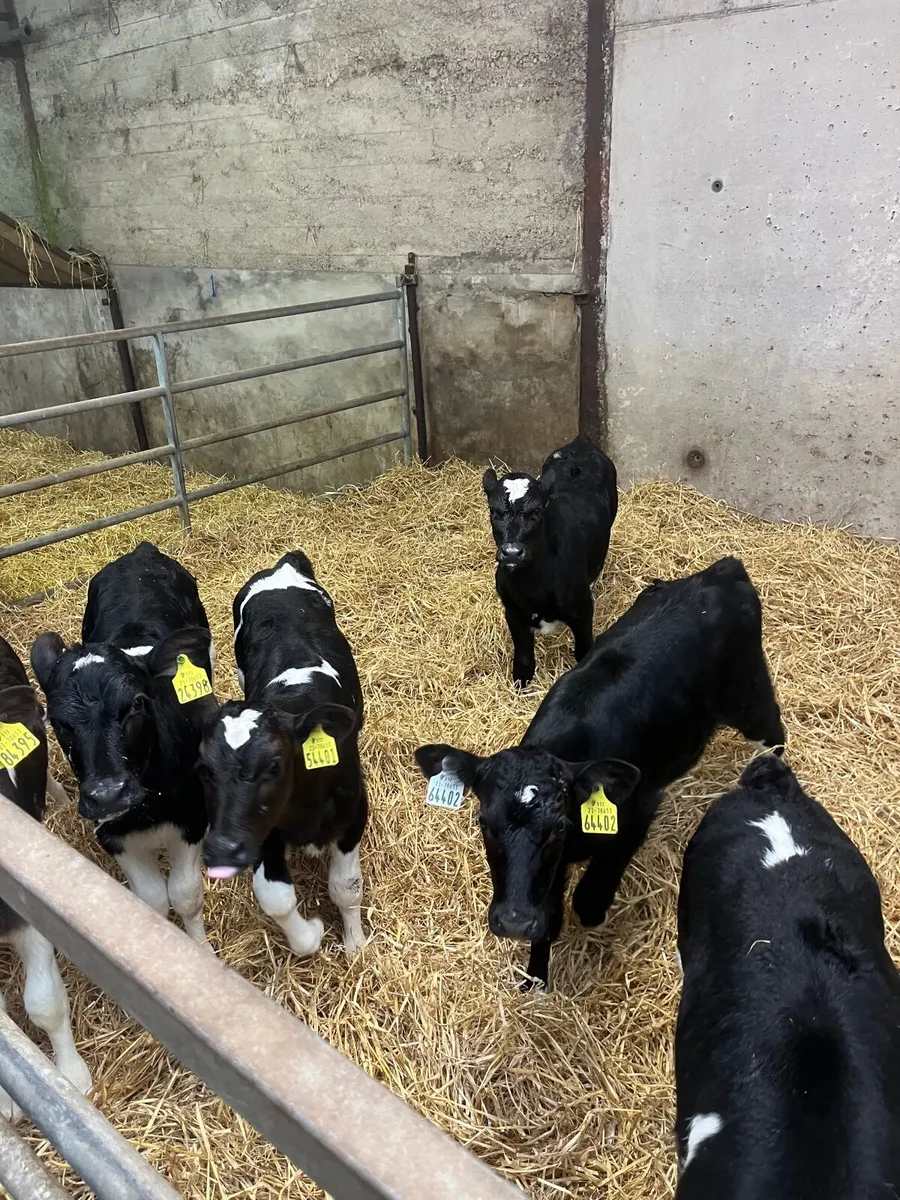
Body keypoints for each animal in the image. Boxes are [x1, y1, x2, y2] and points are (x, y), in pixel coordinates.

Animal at [30, 542, 215, 943]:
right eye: (58, 722)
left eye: (137, 703)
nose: (108, 794)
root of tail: (141, 552)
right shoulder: (112, 834)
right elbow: (152, 902)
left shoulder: (194, 818)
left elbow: (186, 895)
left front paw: (199, 949)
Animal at [198, 551, 367, 957]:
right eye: (204, 769)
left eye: (275, 765)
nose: (223, 848)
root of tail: (282, 567)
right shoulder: (262, 832)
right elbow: (274, 897)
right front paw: (313, 933)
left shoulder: (355, 814)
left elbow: (346, 888)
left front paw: (355, 943)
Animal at [416, 557, 785, 990]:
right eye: (484, 824)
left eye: (558, 826)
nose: (514, 922)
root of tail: (721, 571)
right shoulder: (550, 868)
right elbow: (549, 917)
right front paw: (536, 979)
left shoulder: (640, 806)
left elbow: (591, 889)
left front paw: (592, 909)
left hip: (749, 697)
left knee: (776, 732)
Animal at [482, 433, 618, 687]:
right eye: (494, 511)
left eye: (536, 511)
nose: (512, 552)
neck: (532, 586)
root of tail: (580, 443)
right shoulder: (512, 611)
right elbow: (524, 658)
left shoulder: (582, 609)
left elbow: (584, 651)